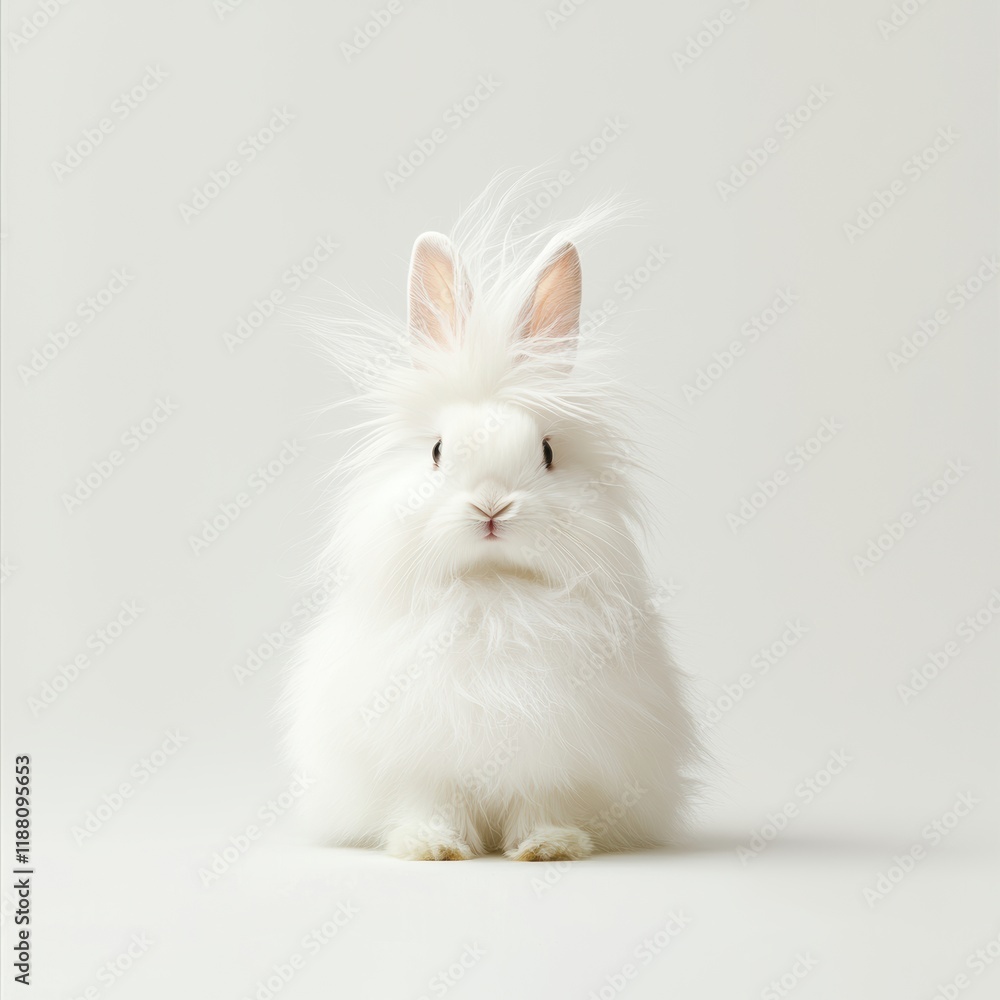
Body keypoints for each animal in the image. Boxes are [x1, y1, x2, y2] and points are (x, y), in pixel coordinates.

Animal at [282, 178, 701, 861]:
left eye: (548, 452)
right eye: (437, 451)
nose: (492, 505)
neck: (491, 589)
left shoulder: (558, 757)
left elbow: (543, 800)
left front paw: (549, 846)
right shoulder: (418, 758)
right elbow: (430, 801)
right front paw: (431, 847)